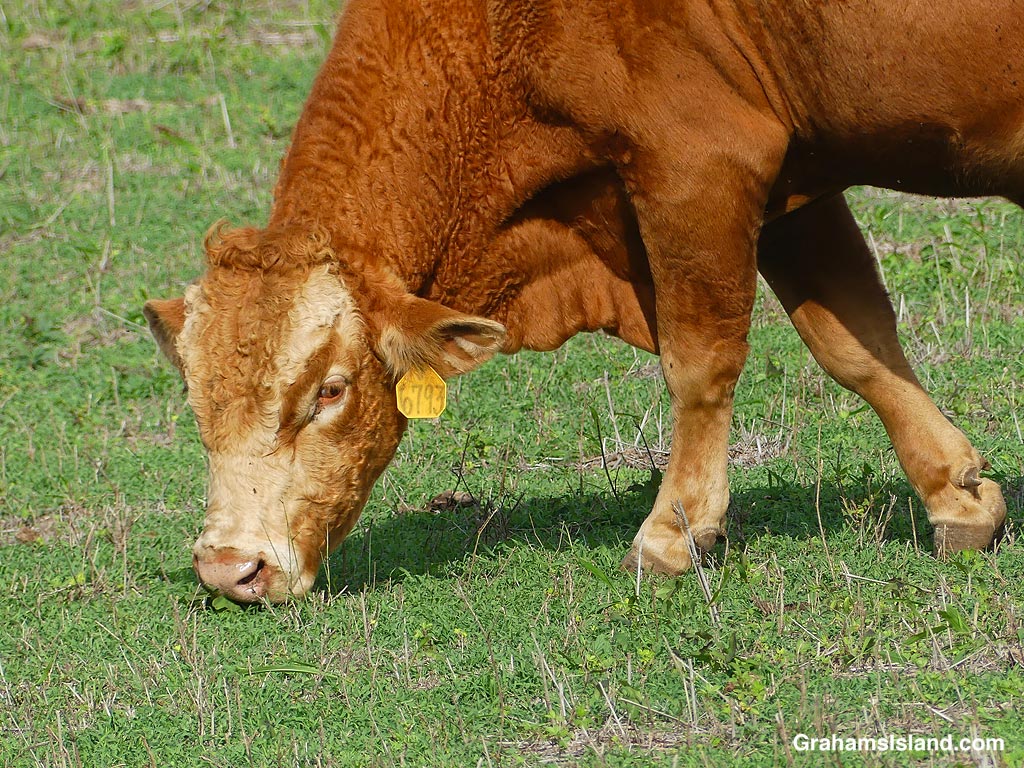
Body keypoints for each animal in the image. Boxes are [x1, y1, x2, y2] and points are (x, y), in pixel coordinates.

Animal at [144, 0, 1015, 602]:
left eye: (329, 391)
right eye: (196, 400)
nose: (230, 569)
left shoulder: (702, 159)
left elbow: (699, 361)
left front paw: (674, 534)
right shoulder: (794, 180)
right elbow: (852, 338)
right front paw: (959, 496)